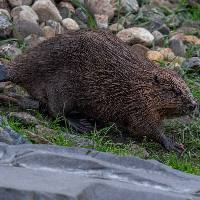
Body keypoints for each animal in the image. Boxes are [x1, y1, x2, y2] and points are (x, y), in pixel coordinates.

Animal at [0, 30, 197, 153]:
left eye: (186, 89)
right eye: (175, 91)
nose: (193, 105)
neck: (141, 84)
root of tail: (12, 70)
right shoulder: (138, 105)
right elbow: (146, 127)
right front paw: (173, 144)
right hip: (62, 87)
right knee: (55, 111)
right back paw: (81, 124)